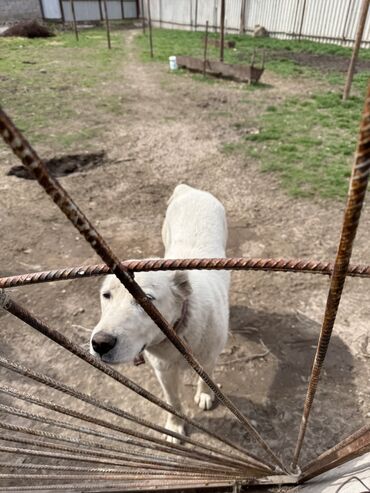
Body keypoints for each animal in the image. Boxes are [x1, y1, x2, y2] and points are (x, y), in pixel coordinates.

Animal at [90, 184, 228, 438]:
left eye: (147, 299)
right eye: (106, 295)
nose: (100, 344)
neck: (178, 333)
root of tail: (190, 189)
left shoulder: (209, 358)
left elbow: (207, 379)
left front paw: (205, 395)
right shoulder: (164, 371)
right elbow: (173, 401)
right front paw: (175, 427)